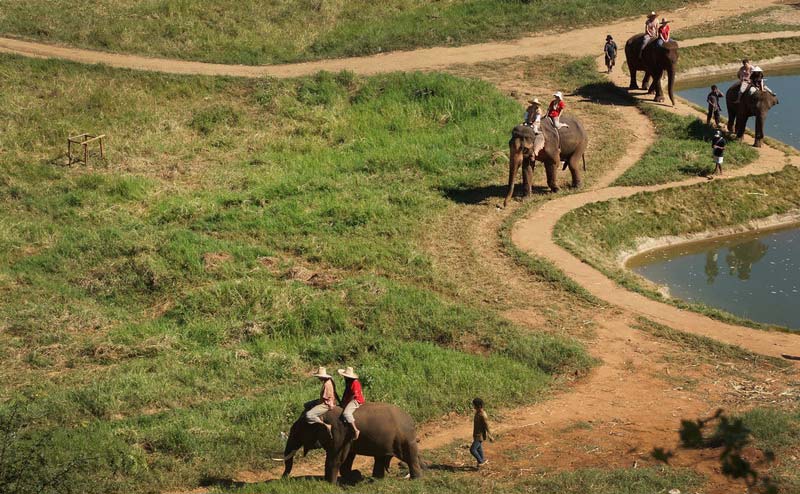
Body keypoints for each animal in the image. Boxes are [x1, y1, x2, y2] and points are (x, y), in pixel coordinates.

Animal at [282, 404, 422, 484]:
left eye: (299, 431)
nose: (284, 478)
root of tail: (411, 420)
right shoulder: (347, 437)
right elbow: (348, 457)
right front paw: (355, 476)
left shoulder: (340, 432)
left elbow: (336, 458)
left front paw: (329, 484)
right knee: (380, 458)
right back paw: (375, 479)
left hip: (404, 440)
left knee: (409, 457)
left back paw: (415, 479)